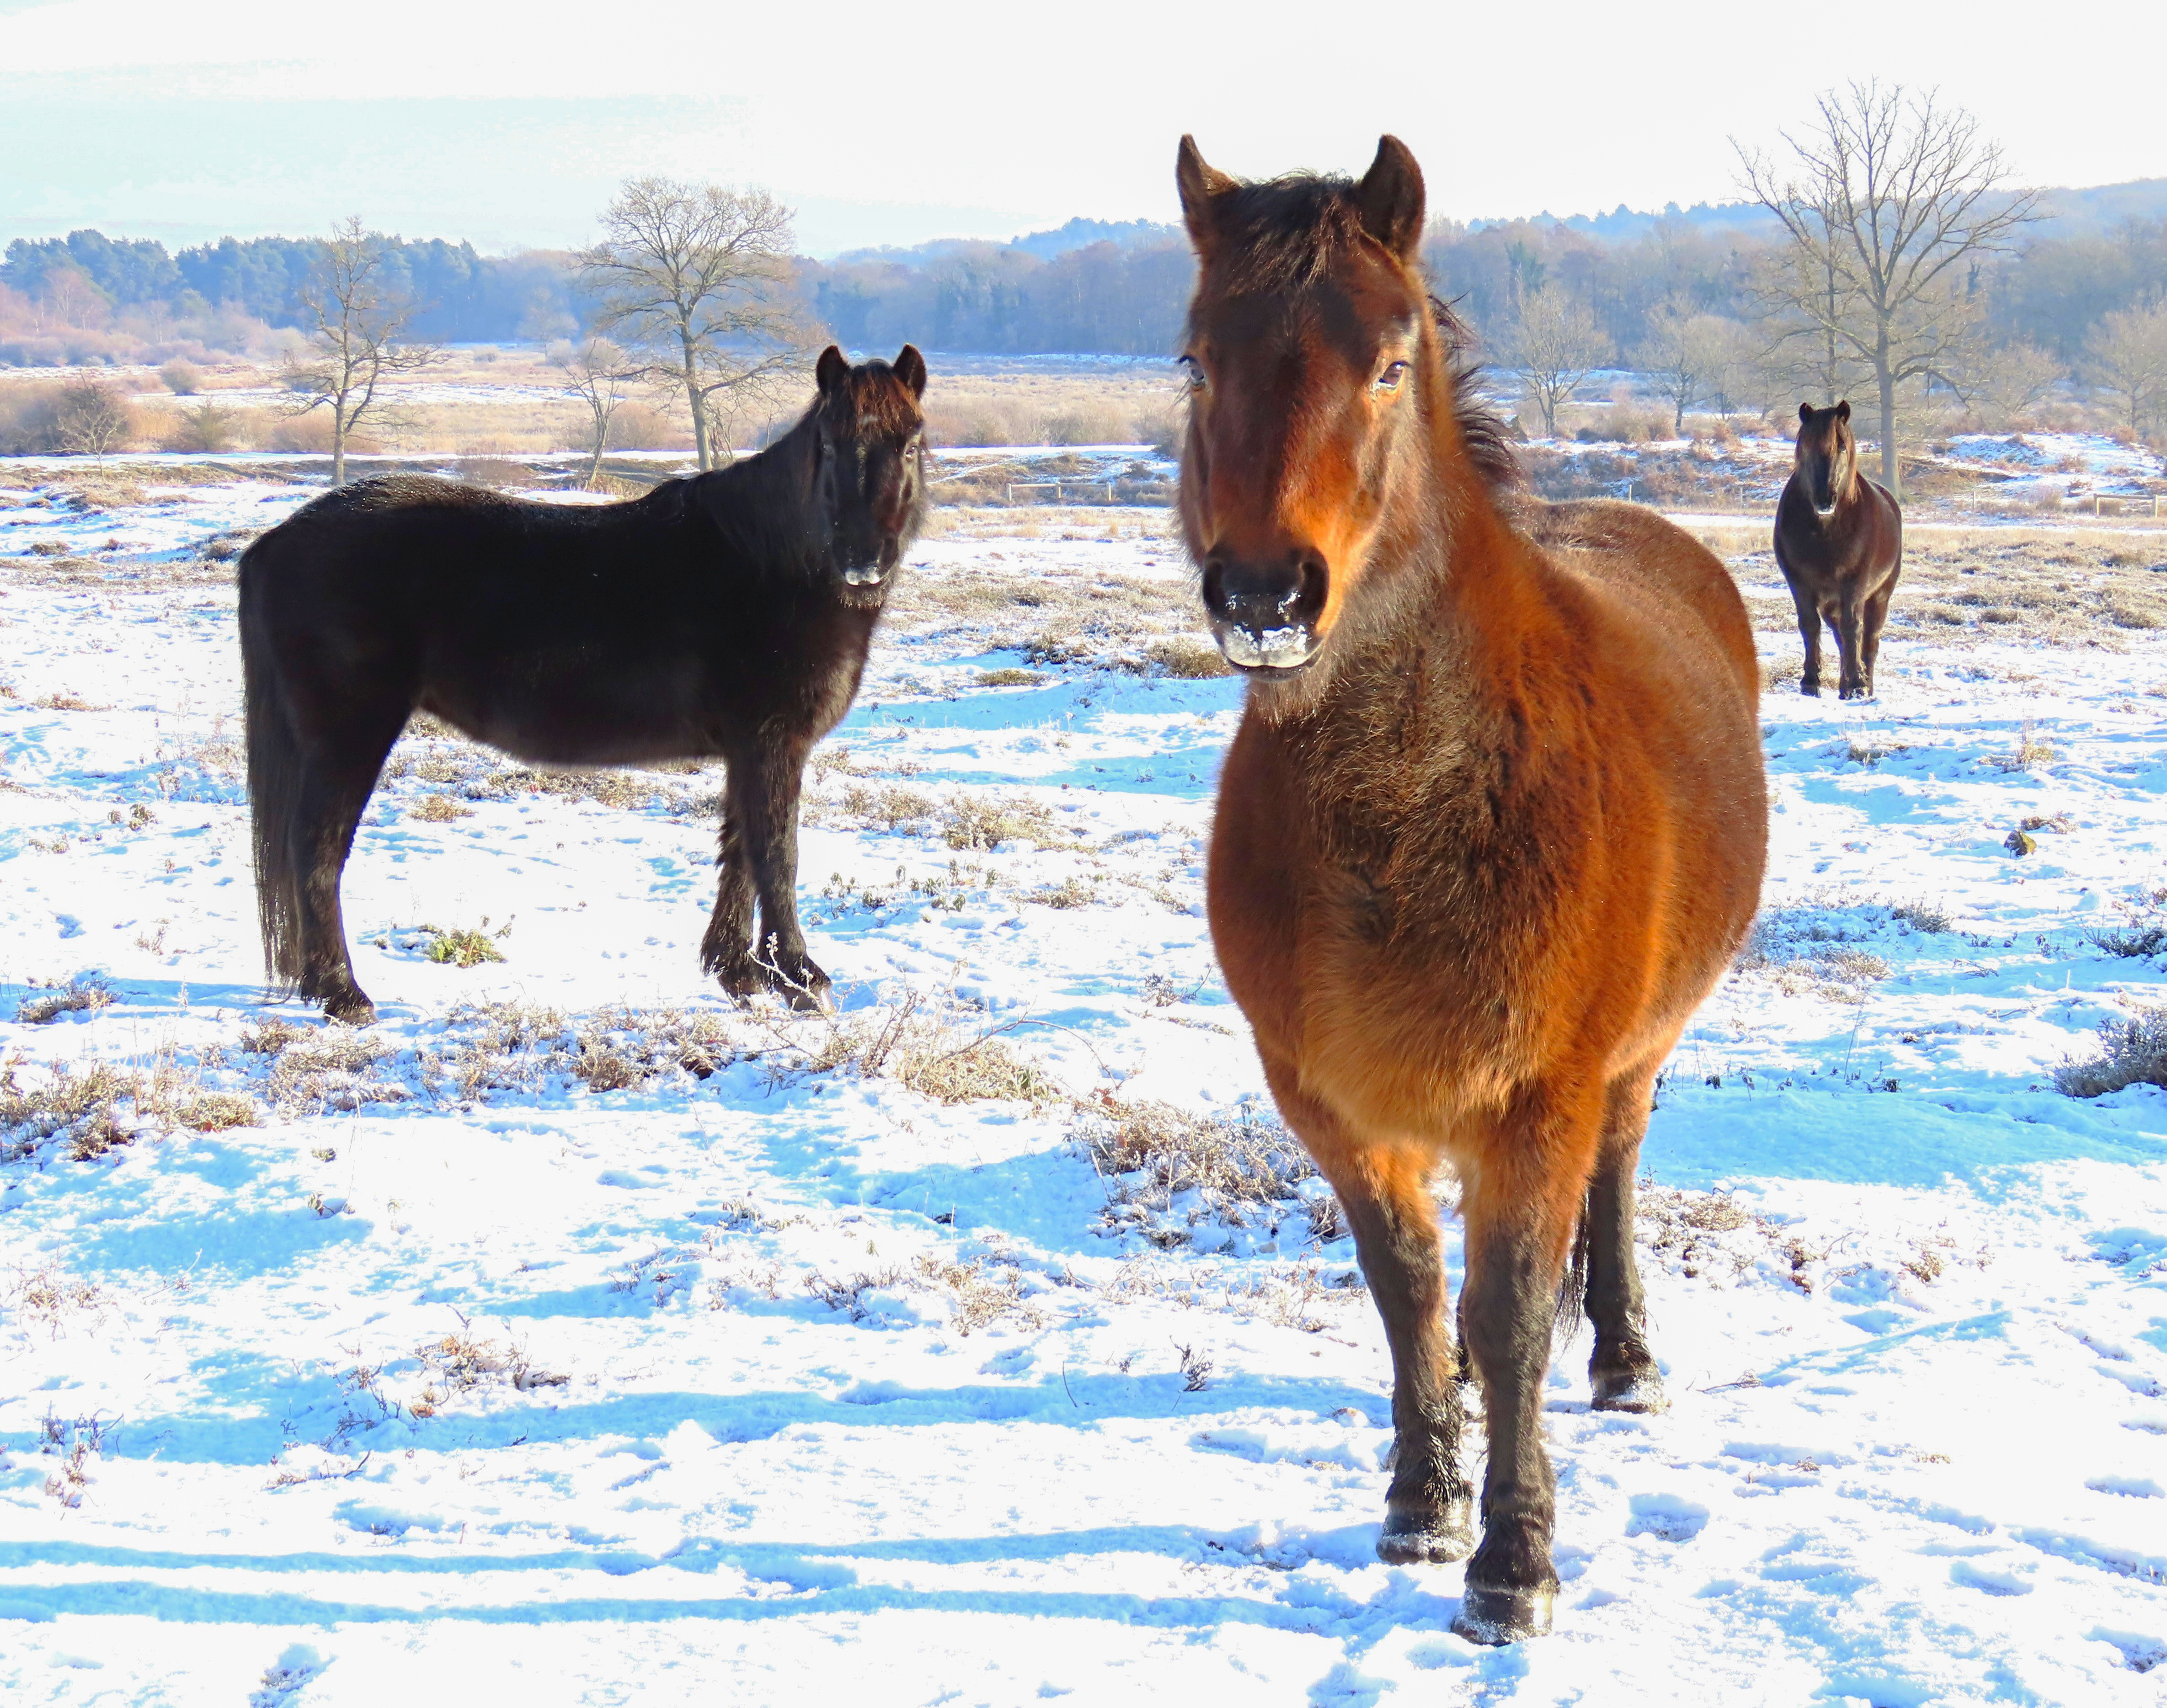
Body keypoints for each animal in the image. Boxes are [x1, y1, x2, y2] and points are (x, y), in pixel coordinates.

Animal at [240, 344, 929, 1026]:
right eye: (830, 446)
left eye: (911, 443)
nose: (863, 561)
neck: (771, 565)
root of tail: (275, 541)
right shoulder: (773, 743)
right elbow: (777, 856)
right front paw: (802, 980)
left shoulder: (750, 748)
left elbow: (741, 854)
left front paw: (741, 974)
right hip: (350, 735)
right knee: (317, 852)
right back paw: (343, 994)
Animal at [1175, 136, 1767, 1644]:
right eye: (1197, 360)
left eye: (1388, 364)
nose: (1263, 594)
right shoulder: (1325, 1097)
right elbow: (1406, 1293)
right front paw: (1419, 1501)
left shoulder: (1534, 1098)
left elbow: (1505, 1318)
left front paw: (1512, 1563)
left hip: (1629, 1059)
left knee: (1617, 1170)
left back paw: (1624, 1357)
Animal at [1774, 400, 1903, 699]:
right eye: (1806, 445)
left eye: (1842, 446)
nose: (1825, 500)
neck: (1826, 533)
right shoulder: (1799, 583)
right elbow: (1810, 626)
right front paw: (1810, 682)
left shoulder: (1855, 583)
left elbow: (1853, 628)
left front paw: (1857, 684)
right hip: (1831, 603)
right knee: (1841, 638)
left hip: (1879, 595)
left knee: (1869, 640)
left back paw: (1865, 685)